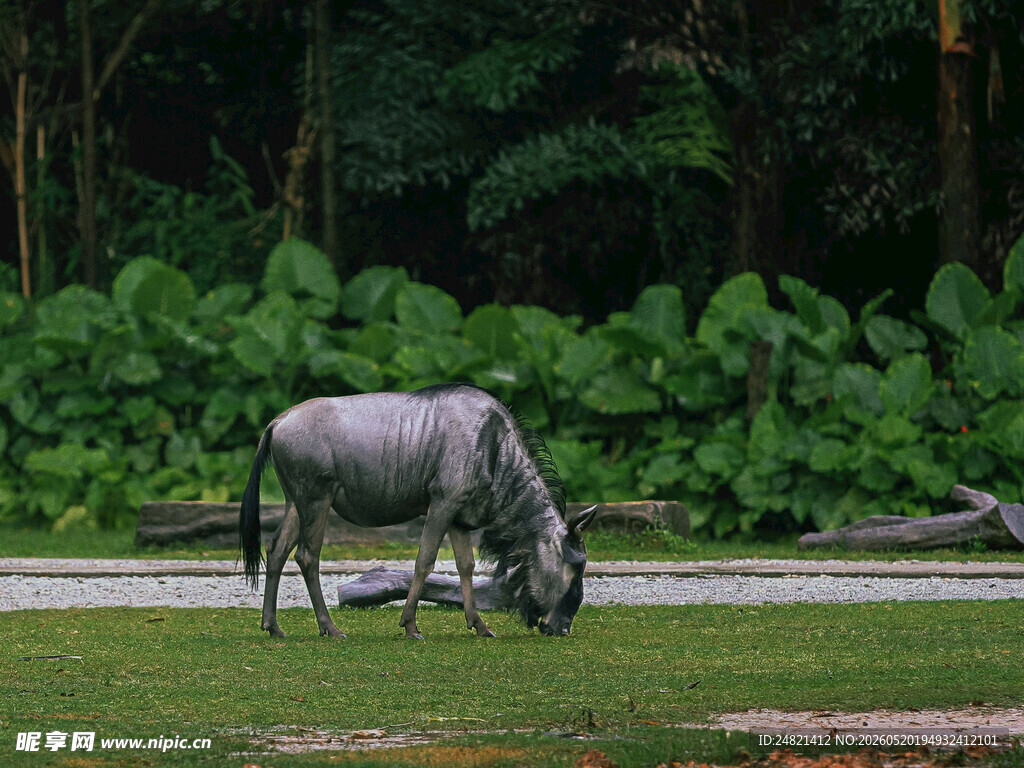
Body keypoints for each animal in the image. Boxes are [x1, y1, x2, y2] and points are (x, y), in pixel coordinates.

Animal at [239, 383, 597, 639]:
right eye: (576, 565)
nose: (563, 628)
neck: (494, 447)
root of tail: (277, 422)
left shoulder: (459, 517)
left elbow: (466, 566)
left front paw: (479, 625)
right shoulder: (442, 503)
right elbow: (424, 561)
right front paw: (410, 626)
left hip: (296, 503)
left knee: (277, 550)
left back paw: (273, 627)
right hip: (317, 500)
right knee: (307, 556)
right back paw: (330, 628)